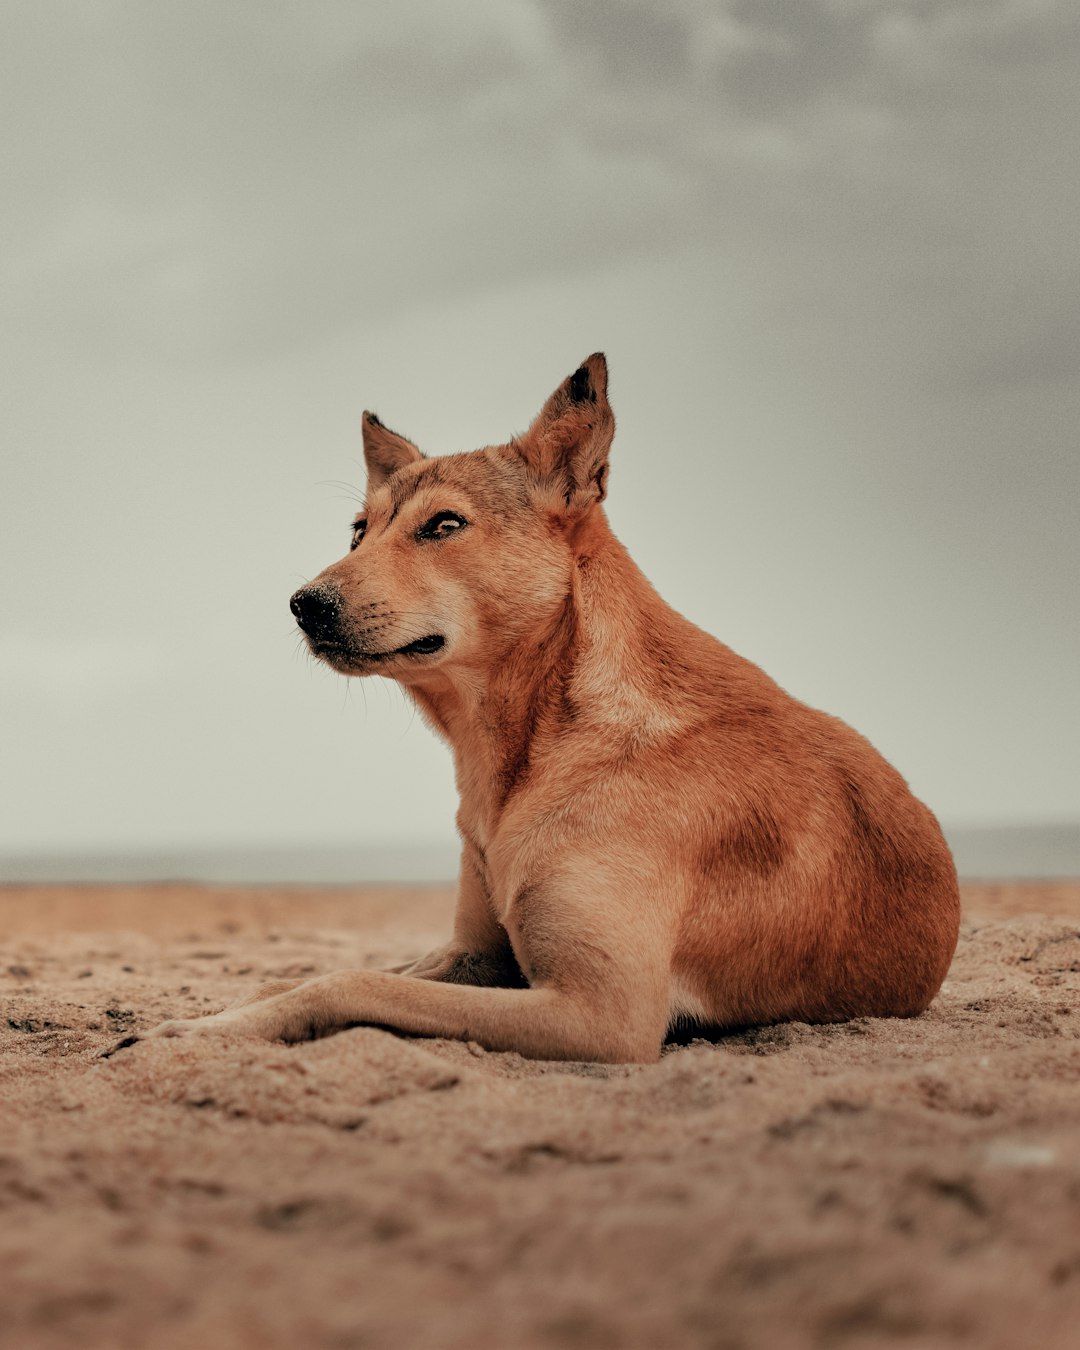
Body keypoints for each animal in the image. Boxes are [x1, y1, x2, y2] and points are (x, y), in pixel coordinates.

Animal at [132, 353, 961, 1058]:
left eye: (443, 525)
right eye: (359, 531)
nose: (305, 604)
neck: (539, 739)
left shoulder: (601, 1013)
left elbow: (349, 980)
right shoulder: (472, 954)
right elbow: (319, 975)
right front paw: (203, 1023)